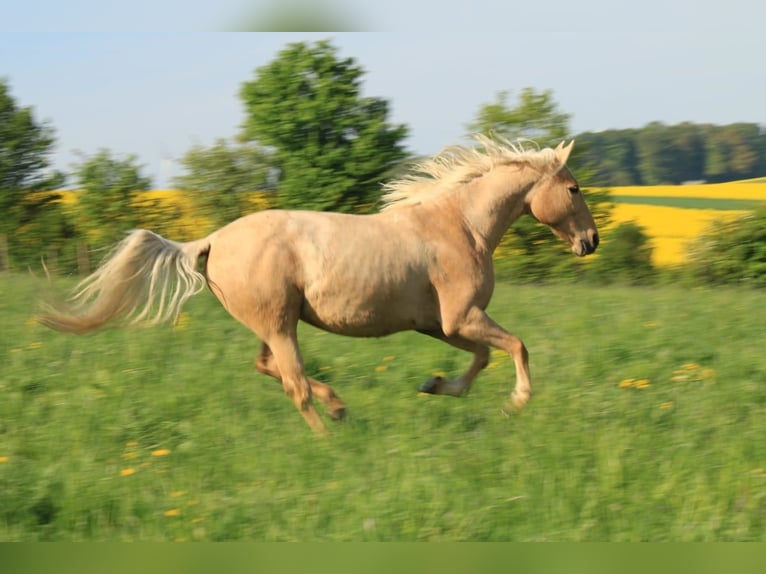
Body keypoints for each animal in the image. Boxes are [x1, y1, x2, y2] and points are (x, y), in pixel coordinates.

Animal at [40, 138, 600, 436]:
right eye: (573, 189)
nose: (591, 241)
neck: (460, 226)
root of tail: (214, 239)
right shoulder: (461, 318)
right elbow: (517, 346)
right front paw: (516, 403)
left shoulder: (441, 325)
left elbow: (483, 358)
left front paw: (436, 386)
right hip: (279, 324)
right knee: (292, 383)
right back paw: (329, 437)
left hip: (274, 324)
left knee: (269, 368)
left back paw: (339, 407)